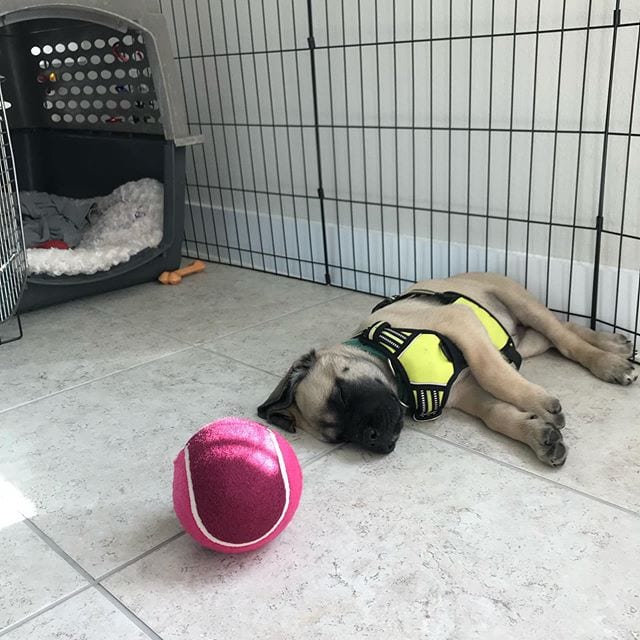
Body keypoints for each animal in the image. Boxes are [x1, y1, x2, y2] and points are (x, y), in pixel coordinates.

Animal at [256, 272, 636, 468]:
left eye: (340, 393)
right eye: (339, 438)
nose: (373, 439)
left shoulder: (460, 323)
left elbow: (492, 371)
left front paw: (537, 403)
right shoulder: (465, 392)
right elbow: (495, 413)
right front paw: (536, 434)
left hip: (520, 303)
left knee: (564, 336)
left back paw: (611, 362)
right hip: (527, 340)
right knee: (560, 333)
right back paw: (614, 345)